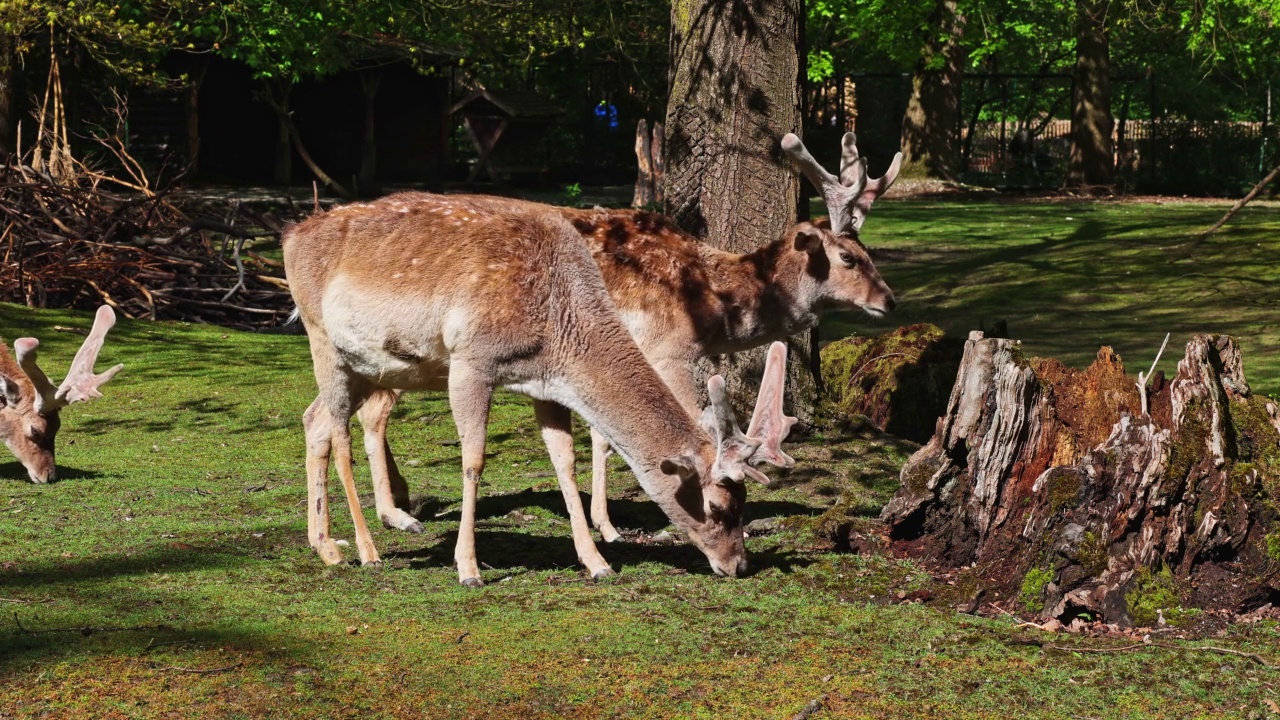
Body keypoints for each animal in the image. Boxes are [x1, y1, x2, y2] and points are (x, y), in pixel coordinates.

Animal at [288, 199, 798, 584]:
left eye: (745, 505)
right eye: (716, 505)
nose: (739, 565)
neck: (558, 326)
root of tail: (290, 235)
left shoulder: (545, 386)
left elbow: (565, 462)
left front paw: (597, 563)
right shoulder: (470, 361)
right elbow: (473, 460)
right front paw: (468, 568)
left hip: (370, 366)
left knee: (315, 420)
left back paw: (326, 546)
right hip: (322, 340)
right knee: (340, 433)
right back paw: (367, 550)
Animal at [358, 131, 901, 540]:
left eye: (869, 251)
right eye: (848, 258)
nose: (890, 300)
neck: (709, 303)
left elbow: (602, 435)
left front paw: (605, 522)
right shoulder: (664, 349)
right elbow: (659, 429)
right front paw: (620, 525)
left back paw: (402, 503)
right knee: (373, 409)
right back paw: (397, 514)